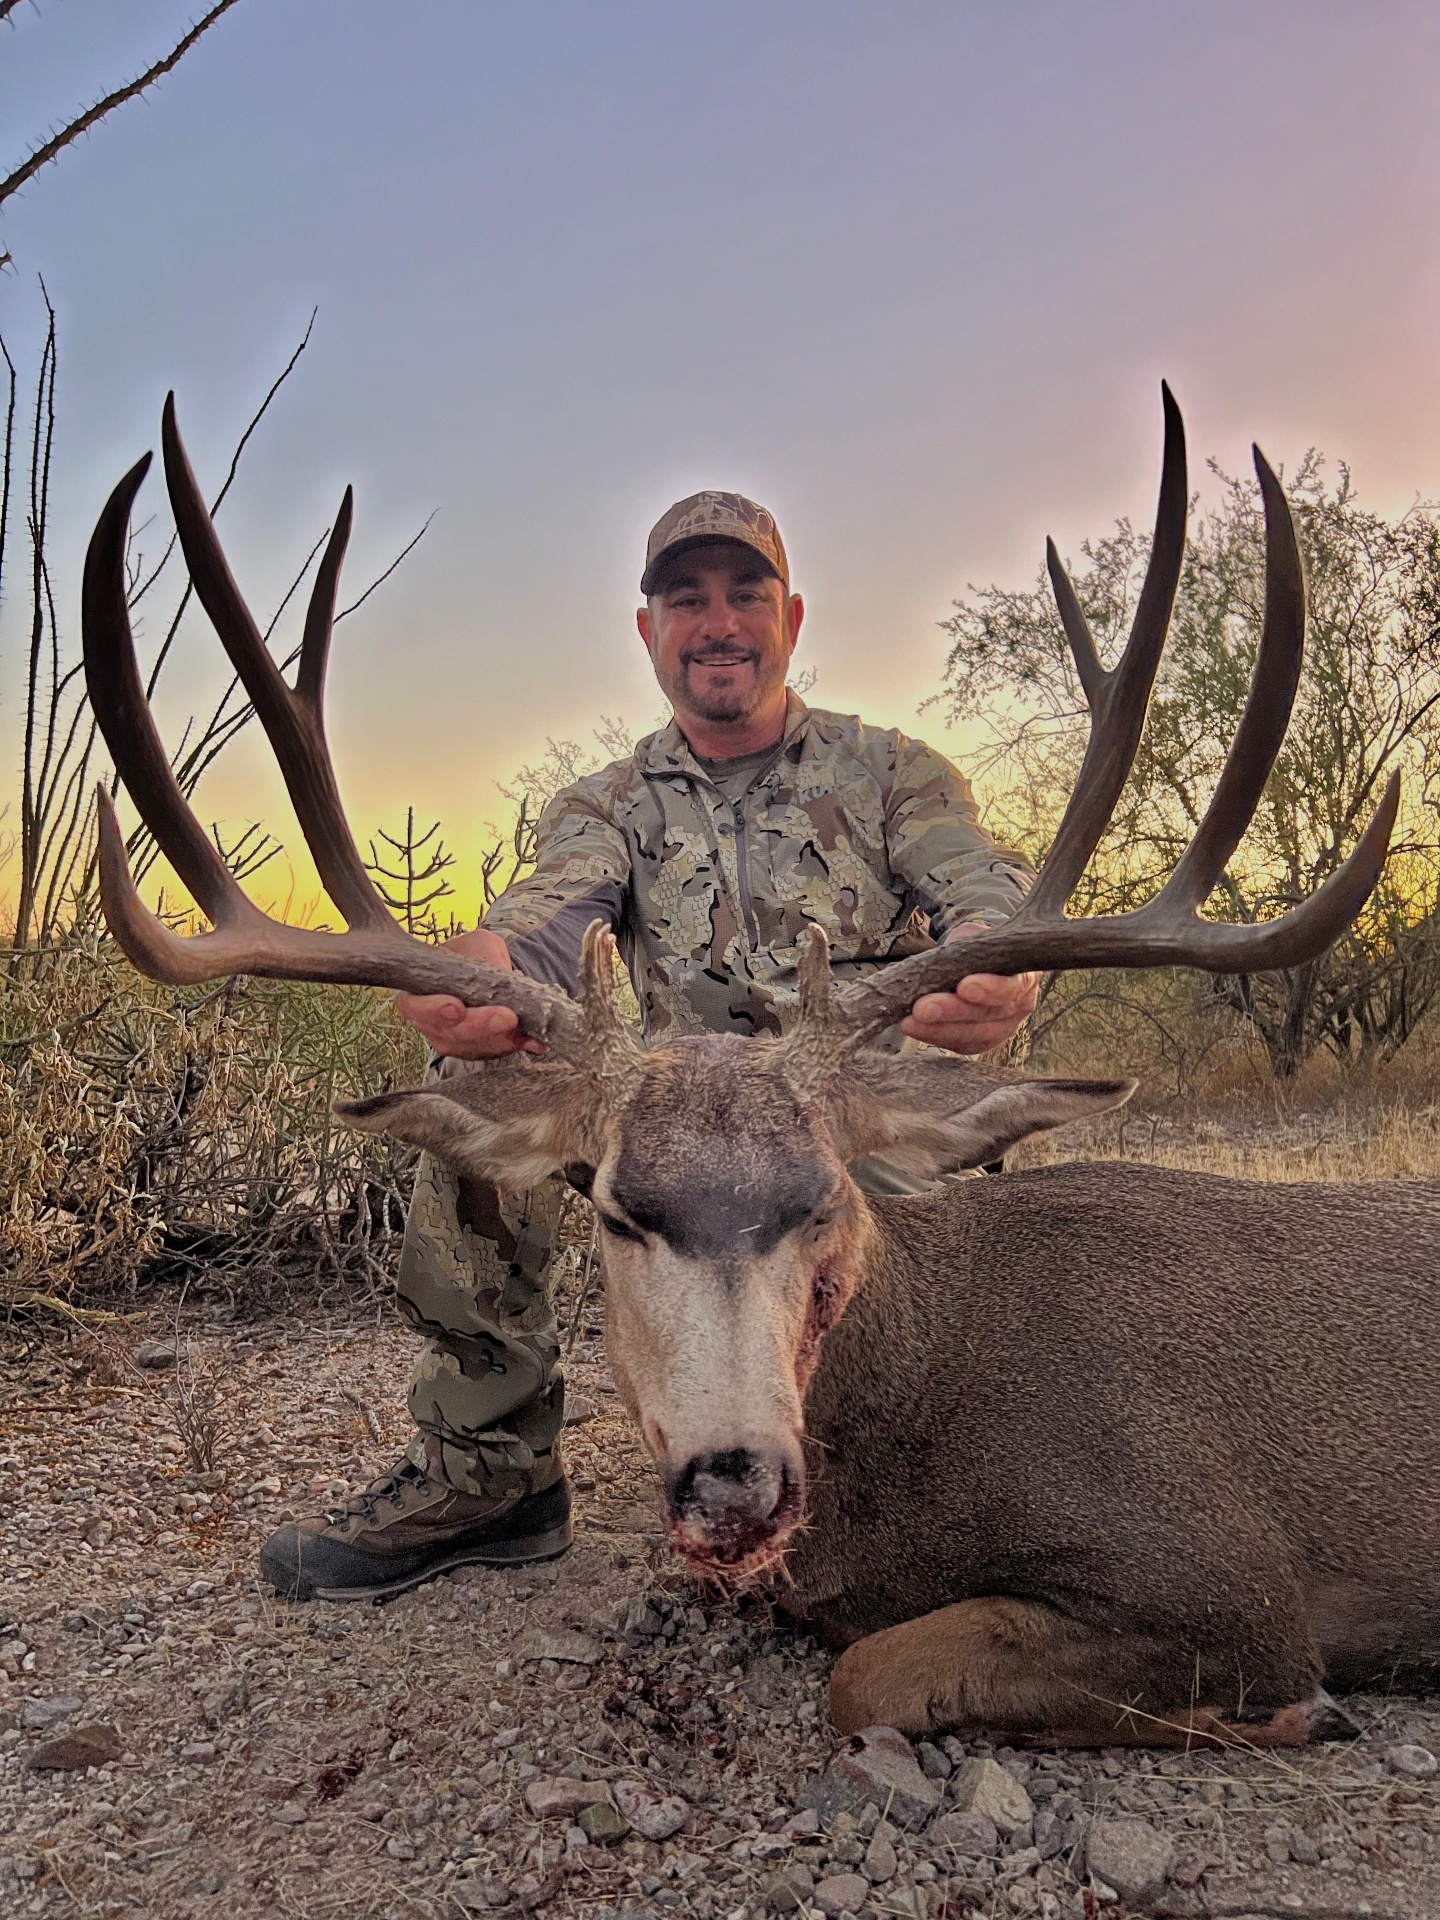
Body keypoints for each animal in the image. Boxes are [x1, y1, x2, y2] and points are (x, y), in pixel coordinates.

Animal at [82, 389, 1440, 1750]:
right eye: (615, 1210)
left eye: (825, 1200)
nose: (733, 1488)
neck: (924, 1406)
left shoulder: (1219, 1575)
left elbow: (869, 1674)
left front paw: (1299, 1719)